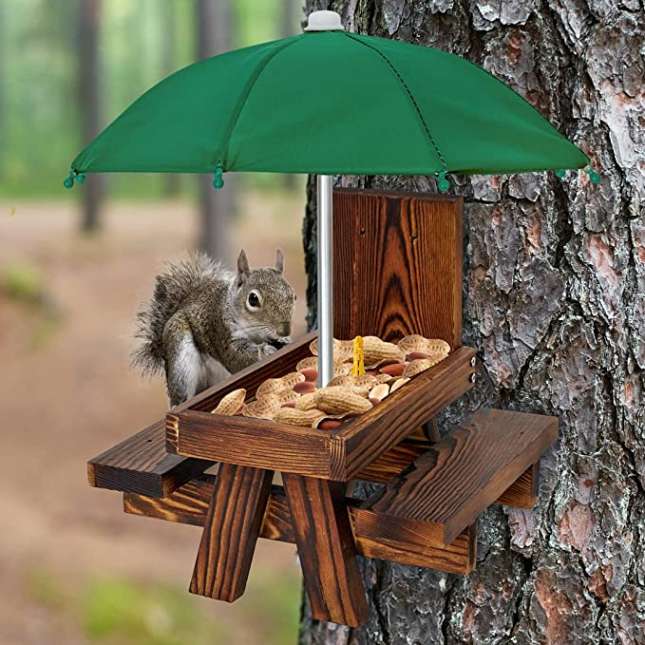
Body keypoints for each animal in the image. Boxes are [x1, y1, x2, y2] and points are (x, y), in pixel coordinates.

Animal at [132, 249, 296, 406]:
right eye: (253, 299)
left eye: (293, 296)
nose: (284, 330)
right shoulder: (221, 331)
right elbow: (237, 357)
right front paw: (266, 350)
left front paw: (285, 341)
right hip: (180, 357)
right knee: (180, 396)